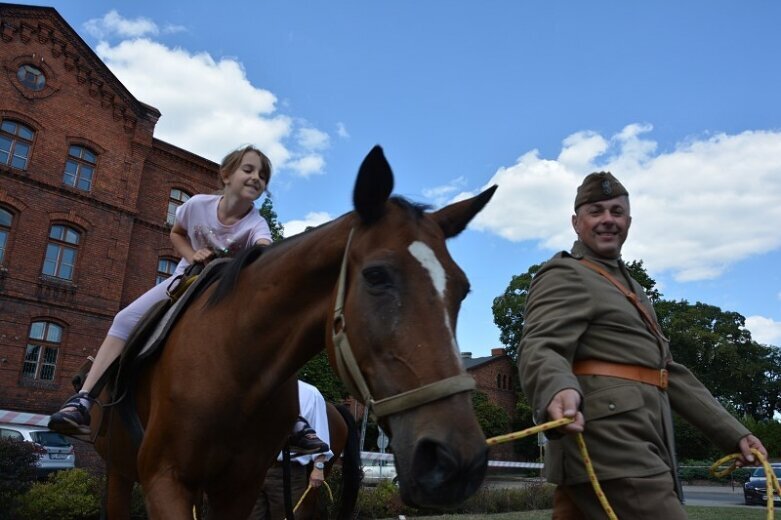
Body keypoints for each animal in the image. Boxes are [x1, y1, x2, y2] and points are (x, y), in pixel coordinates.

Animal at [91, 147, 494, 520]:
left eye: (462, 289)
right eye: (376, 275)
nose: (458, 459)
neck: (233, 363)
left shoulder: (239, 488)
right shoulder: (165, 480)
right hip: (119, 473)